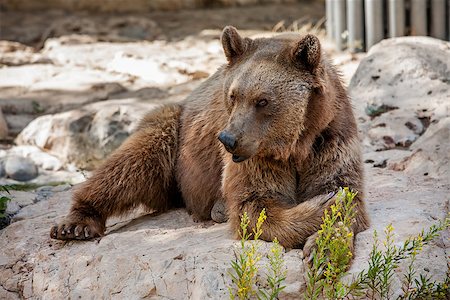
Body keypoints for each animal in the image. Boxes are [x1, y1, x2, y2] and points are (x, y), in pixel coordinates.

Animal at [51, 25, 370, 252]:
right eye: (233, 95)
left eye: (262, 100)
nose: (228, 139)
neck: (295, 145)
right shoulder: (255, 157)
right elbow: (255, 205)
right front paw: (324, 205)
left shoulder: (330, 139)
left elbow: (346, 194)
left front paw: (324, 244)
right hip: (174, 134)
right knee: (132, 162)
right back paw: (75, 223)